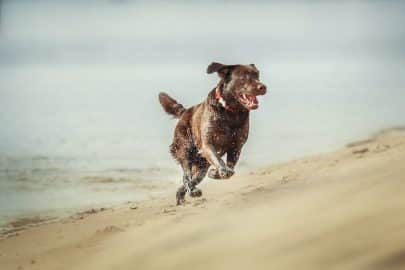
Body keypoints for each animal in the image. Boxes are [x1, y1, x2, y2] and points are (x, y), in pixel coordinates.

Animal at [159, 61, 266, 205]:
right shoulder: (207, 144)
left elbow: (231, 168)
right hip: (185, 150)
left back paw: (181, 195)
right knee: (186, 175)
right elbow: (220, 162)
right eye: (243, 77)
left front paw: (215, 173)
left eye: (257, 75)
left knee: (191, 178)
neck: (230, 113)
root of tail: (184, 112)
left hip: (202, 165)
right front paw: (220, 171)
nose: (263, 87)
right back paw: (192, 191)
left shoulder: (236, 147)